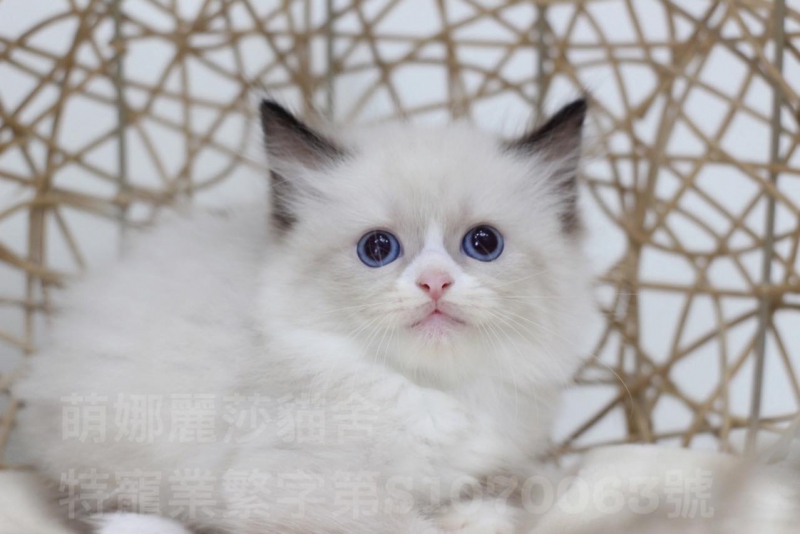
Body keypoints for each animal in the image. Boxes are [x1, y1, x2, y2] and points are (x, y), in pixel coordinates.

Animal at [12, 97, 593, 534]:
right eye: (378, 249)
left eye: (483, 243)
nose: (435, 282)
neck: (429, 393)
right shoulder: (293, 481)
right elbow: (403, 523)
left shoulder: (507, 461)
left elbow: (504, 495)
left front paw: (473, 513)